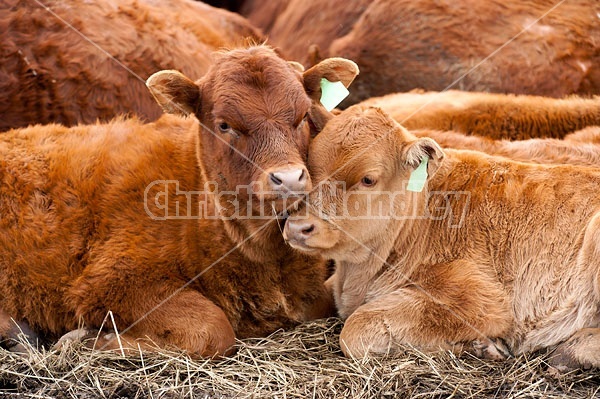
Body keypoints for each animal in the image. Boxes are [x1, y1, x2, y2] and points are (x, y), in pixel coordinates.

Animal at [0, 45, 356, 358]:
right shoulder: (114, 280)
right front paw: (89, 339)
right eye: (224, 125)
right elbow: (213, 328)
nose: (289, 179)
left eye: (303, 117)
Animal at [282, 105, 600, 372]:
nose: (298, 227)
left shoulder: (481, 301)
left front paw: (482, 347)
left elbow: (356, 329)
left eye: (368, 179)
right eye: (309, 167)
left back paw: (567, 353)